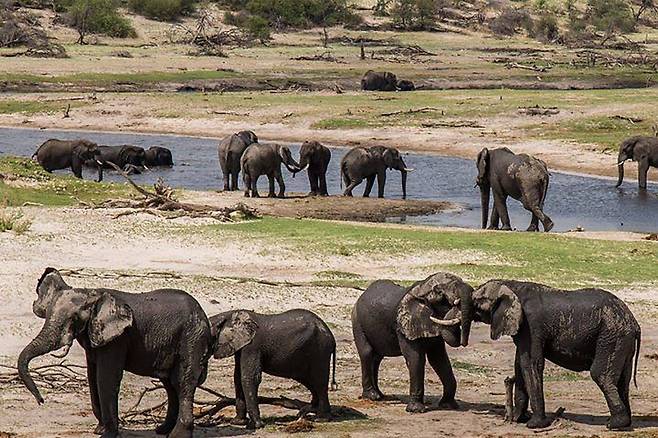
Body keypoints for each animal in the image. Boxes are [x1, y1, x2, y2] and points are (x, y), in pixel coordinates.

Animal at [18, 268, 212, 438]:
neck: (92, 294)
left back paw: (176, 435)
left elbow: (105, 378)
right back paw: (162, 430)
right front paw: (100, 430)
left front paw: (107, 434)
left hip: (193, 337)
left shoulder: (117, 339)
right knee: (170, 384)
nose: (41, 401)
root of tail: (203, 313)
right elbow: (92, 376)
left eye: (74, 319)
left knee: (183, 381)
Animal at [351, 273, 474, 413]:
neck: (421, 288)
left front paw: (448, 405)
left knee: (377, 358)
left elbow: (439, 359)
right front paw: (416, 410)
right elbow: (415, 358)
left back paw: (380, 395)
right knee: (367, 353)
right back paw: (372, 396)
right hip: (357, 322)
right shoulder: (403, 326)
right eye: (439, 293)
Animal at [471, 279, 641, 430]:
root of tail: (635, 323)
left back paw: (614, 425)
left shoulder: (531, 326)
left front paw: (534, 425)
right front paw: (518, 419)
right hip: (622, 340)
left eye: (476, 301)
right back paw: (624, 422)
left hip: (612, 336)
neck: (511, 285)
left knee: (600, 374)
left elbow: (531, 364)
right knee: (623, 380)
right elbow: (519, 365)